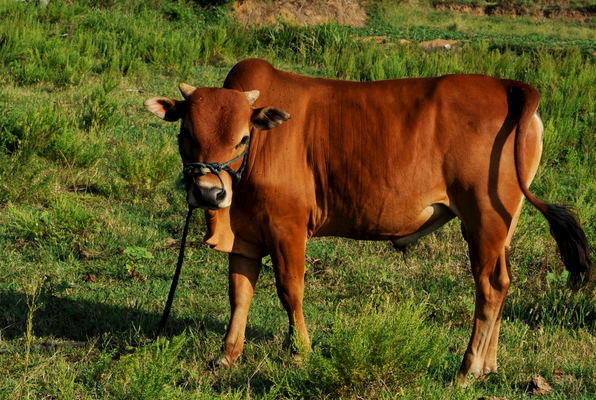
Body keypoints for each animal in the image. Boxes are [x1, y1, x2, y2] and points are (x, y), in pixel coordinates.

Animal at [146, 57, 592, 386]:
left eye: (242, 137)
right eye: (187, 134)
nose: (209, 194)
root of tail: (508, 86)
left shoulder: (287, 227)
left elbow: (290, 291)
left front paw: (301, 353)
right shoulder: (246, 237)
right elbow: (239, 294)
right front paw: (227, 356)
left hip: (484, 219)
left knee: (490, 286)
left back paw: (468, 370)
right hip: (503, 224)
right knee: (503, 281)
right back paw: (489, 366)